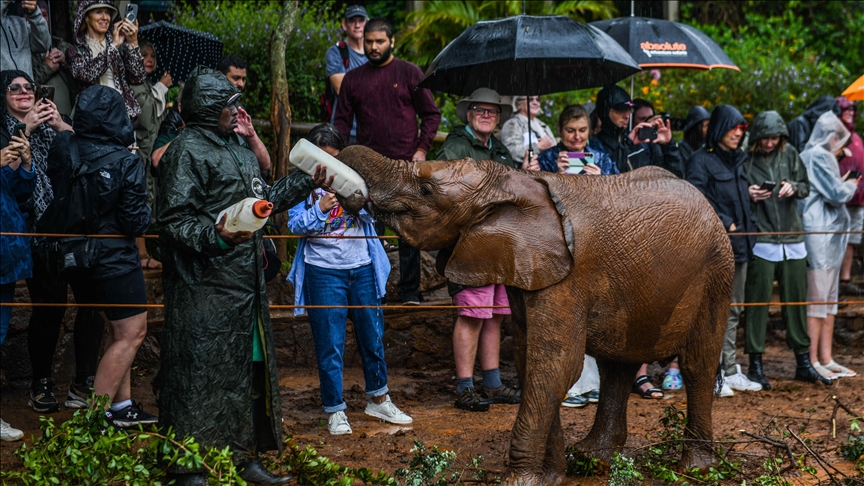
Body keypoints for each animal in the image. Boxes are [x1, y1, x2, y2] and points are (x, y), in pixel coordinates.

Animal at [336, 146, 728, 486]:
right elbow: (531, 361)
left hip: (716, 271)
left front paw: (519, 481)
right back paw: (591, 457)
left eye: (426, 189)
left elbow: (555, 365)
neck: (512, 180)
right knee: (616, 366)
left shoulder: (567, 277)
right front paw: (551, 477)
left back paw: (697, 468)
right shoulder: (525, 266)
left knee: (697, 365)